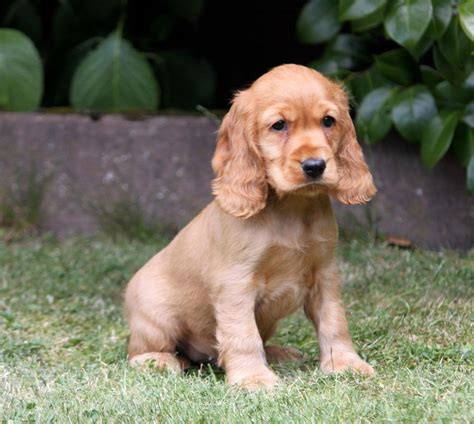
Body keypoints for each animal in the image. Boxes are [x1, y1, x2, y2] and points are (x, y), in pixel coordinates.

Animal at [124, 61, 376, 390]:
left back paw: (279, 353)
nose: (315, 166)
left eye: (328, 121)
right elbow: (242, 335)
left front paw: (345, 363)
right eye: (279, 125)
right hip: (157, 319)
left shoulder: (325, 273)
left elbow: (334, 322)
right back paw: (161, 361)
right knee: (140, 353)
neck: (291, 209)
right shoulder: (236, 284)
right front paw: (252, 378)